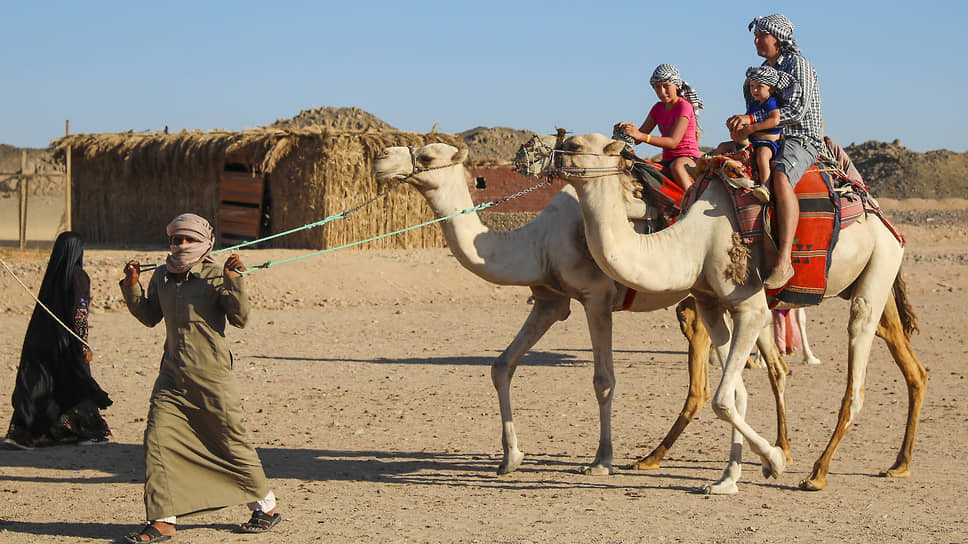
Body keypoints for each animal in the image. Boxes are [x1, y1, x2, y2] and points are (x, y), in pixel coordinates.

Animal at [372, 143, 796, 476]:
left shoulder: (596, 298)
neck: (538, 242)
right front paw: (510, 457)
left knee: (751, 370)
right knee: (757, 367)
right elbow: (502, 366)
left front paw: (601, 460)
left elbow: (603, 381)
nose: (381, 158)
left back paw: (777, 454)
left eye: (428, 156)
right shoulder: (550, 300)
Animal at [560, 133, 932, 492]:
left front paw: (774, 461)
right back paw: (900, 463)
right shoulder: (710, 305)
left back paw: (818, 472)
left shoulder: (750, 309)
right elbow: (737, 394)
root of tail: (880, 216)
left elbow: (723, 399)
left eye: (574, 145)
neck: (693, 241)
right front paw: (728, 479)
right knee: (911, 365)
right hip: (864, 282)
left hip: (880, 264)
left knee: (857, 364)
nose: (553, 157)